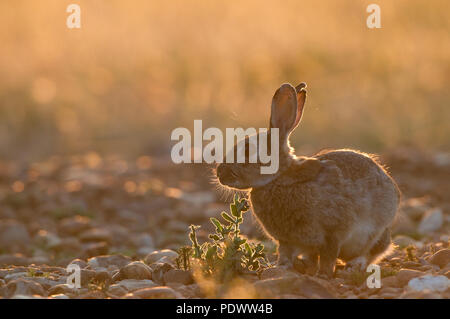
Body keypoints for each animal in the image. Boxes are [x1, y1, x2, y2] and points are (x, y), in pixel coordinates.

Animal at [215, 82, 400, 278]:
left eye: (248, 150)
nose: (220, 172)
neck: (280, 178)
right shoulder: (287, 241)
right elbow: (285, 253)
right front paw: (280, 267)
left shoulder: (333, 232)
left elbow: (328, 255)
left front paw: (323, 275)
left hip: (374, 234)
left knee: (372, 252)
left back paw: (353, 265)